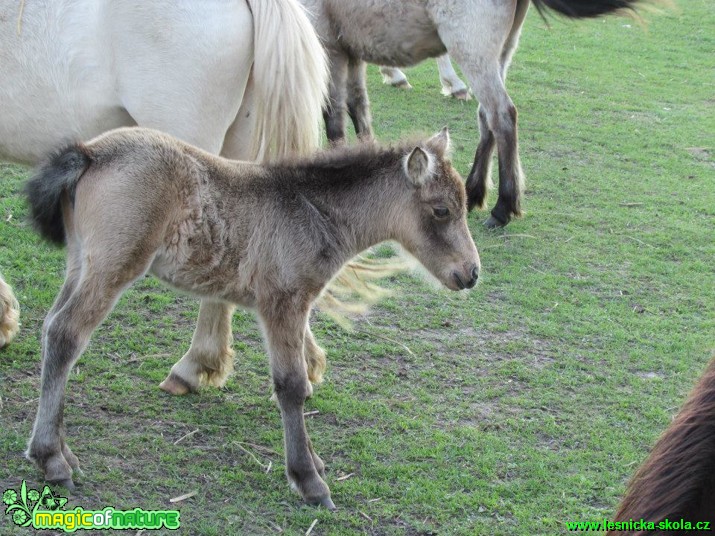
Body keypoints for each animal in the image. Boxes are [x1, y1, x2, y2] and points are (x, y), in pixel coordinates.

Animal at [23, 127, 482, 508]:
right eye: (442, 210)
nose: (471, 273)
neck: (311, 210)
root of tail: (91, 152)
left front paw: (313, 461)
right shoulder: (282, 303)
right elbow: (292, 386)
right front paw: (308, 480)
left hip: (81, 263)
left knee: (50, 327)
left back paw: (61, 451)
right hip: (113, 266)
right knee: (66, 334)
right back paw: (51, 458)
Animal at [300, 0, 648, 227]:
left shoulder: (328, 44)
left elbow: (334, 117)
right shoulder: (350, 46)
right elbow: (359, 108)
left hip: (472, 50)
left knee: (502, 115)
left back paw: (502, 208)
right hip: (500, 51)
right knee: (487, 117)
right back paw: (473, 193)